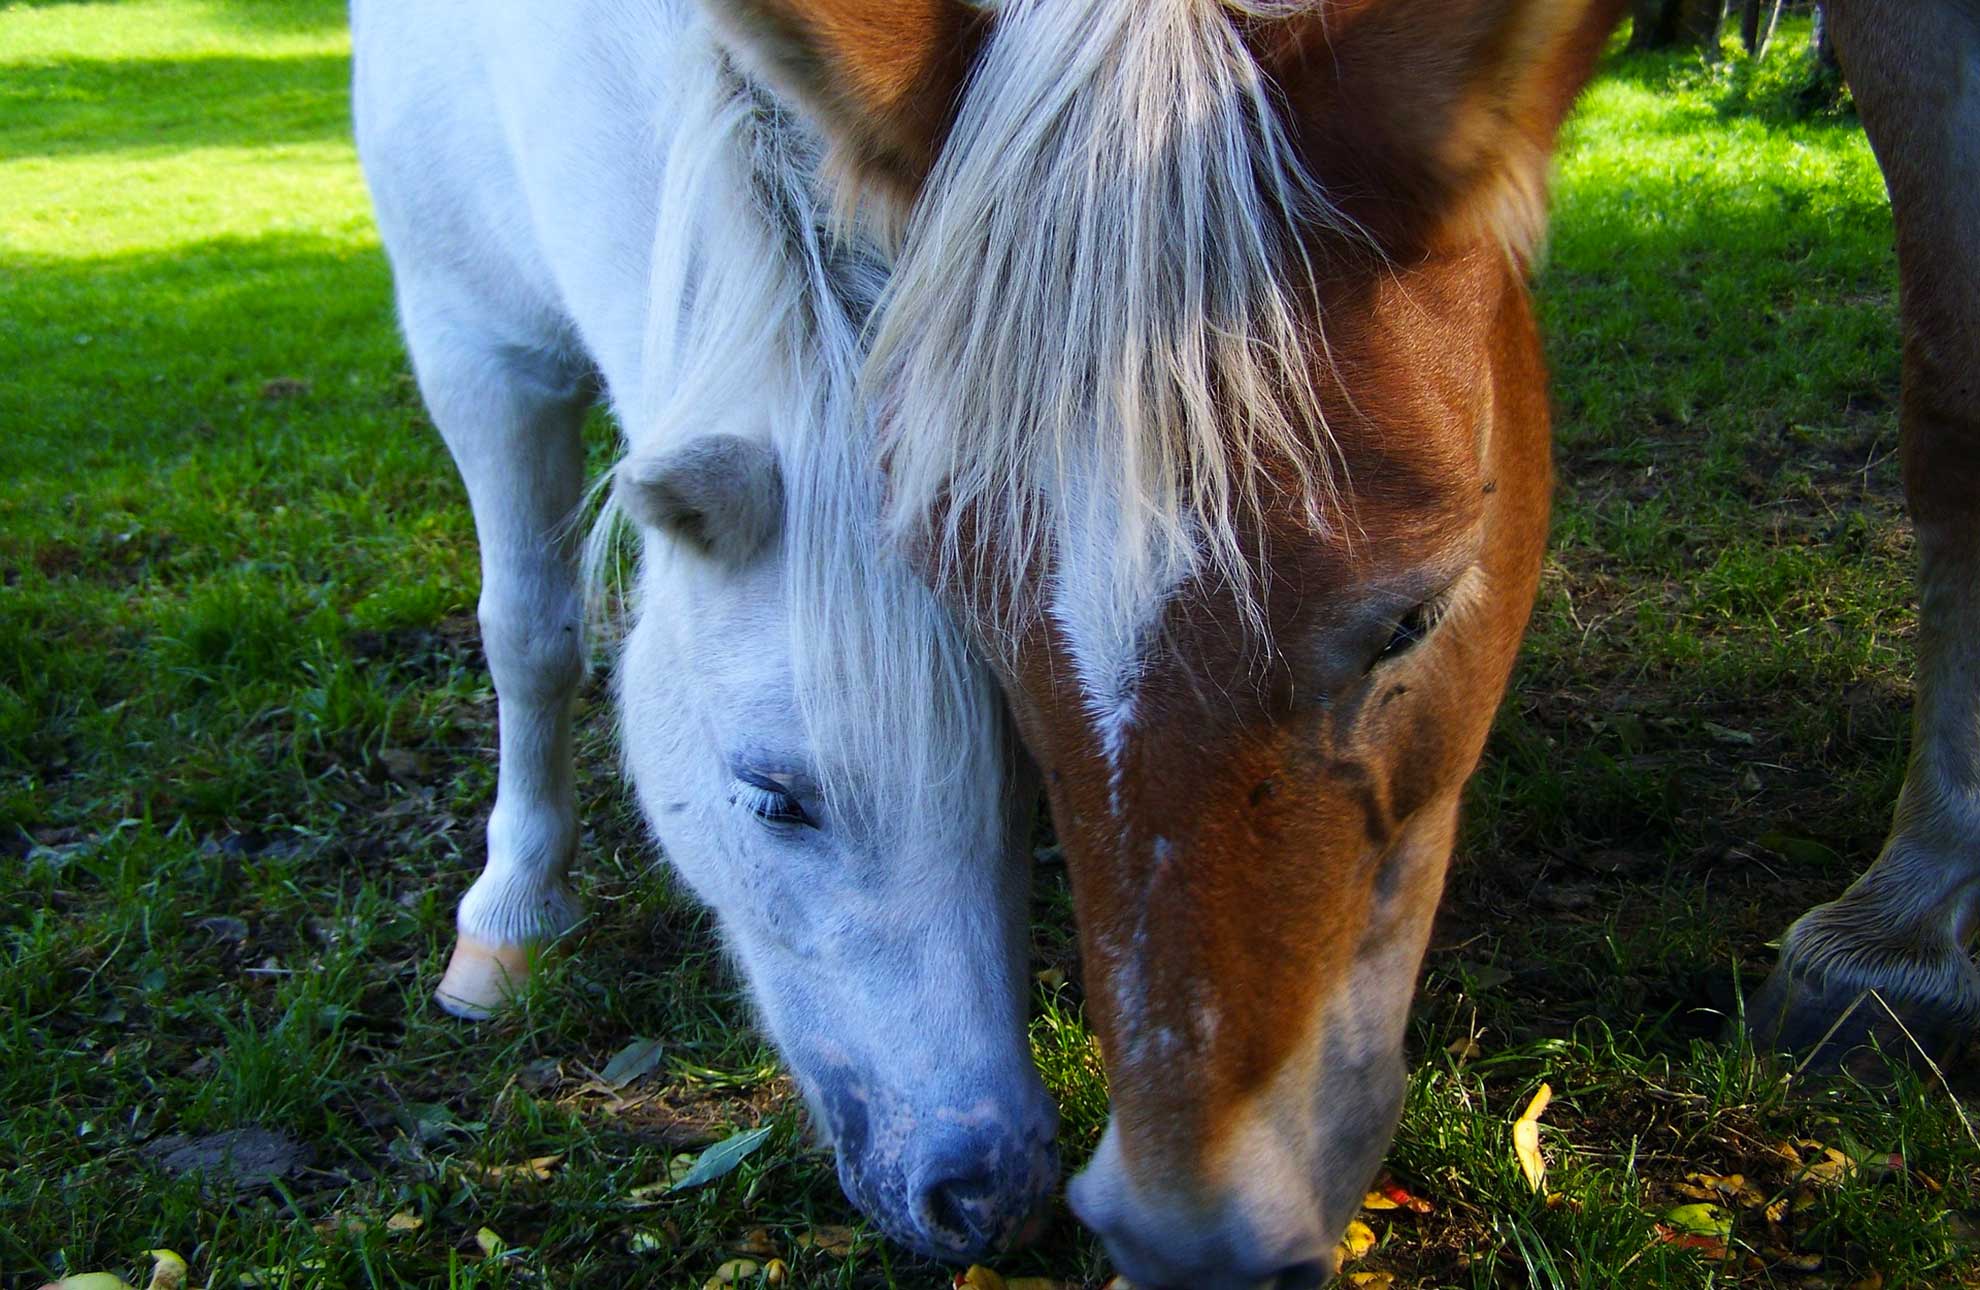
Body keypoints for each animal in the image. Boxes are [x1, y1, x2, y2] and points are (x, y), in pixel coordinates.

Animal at [348, 0, 1061, 1258]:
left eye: (1022, 776)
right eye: (773, 799)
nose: (995, 1190)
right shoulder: (475, 346)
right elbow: (528, 634)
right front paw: (512, 909)